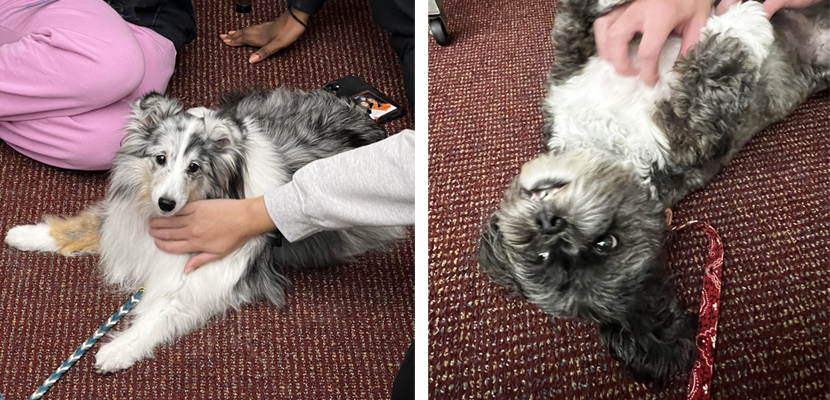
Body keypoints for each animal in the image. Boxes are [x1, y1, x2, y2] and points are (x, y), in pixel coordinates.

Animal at [4, 87, 408, 372]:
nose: (166, 203)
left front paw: (117, 350)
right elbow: (85, 226)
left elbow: (161, 314)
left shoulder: (209, 276)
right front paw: (23, 234)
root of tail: (359, 111)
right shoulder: (128, 217)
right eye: (160, 159)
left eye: (195, 167)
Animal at [480, 0, 830, 388]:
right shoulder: (691, 137)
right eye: (606, 242)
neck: (604, 141)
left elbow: (574, 22)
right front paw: (743, 23)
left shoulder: (570, 69)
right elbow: (709, 80)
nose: (550, 223)